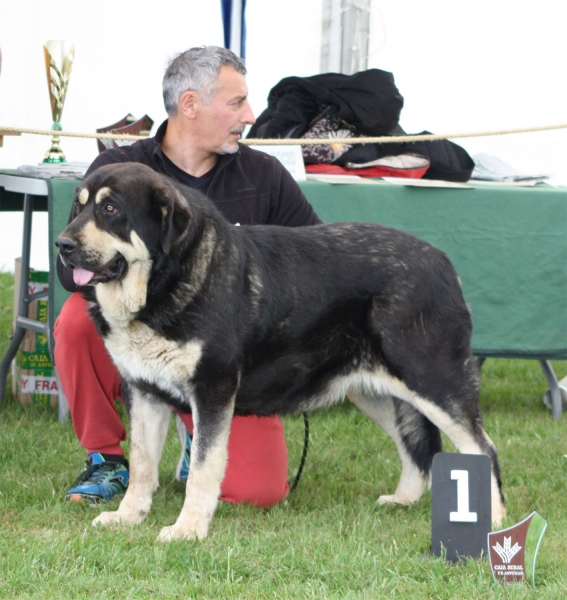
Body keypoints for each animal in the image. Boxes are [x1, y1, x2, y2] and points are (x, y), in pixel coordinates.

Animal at [56, 162, 506, 540]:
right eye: (78, 207)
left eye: (110, 208)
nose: (61, 244)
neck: (162, 285)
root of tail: (444, 263)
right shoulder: (144, 391)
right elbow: (142, 466)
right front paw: (128, 517)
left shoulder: (213, 390)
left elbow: (203, 468)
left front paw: (188, 530)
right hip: (376, 391)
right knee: (415, 447)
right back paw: (404, 500)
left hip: (432, 382)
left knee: (481, 448)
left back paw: (494, 519)